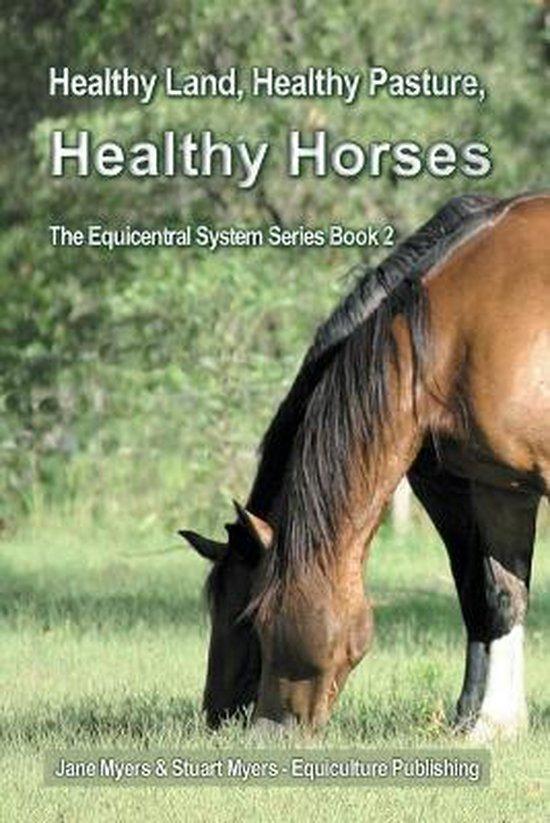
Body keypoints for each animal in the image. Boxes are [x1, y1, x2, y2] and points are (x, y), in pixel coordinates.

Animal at [181, 192, 550, 739]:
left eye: (249, 617)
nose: (228, 719)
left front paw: (491, 722)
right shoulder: (486, 485)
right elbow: (491, 595)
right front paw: (482, 720)